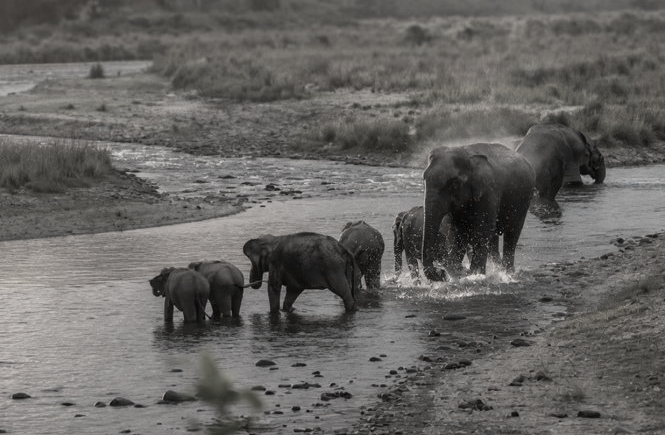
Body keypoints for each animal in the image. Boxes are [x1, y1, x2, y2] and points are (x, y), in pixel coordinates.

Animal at [422, 142, 536, 281]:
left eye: (455, 184)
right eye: (424, 179)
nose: (439, 272)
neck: (467, 154)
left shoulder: (489, 193)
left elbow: (481, 231)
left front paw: (475, 275)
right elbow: (455, 232)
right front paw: (461, 273)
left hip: (523, 201)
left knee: (511, 234)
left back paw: (508, 273)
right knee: (493, 238)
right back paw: (498, 269)